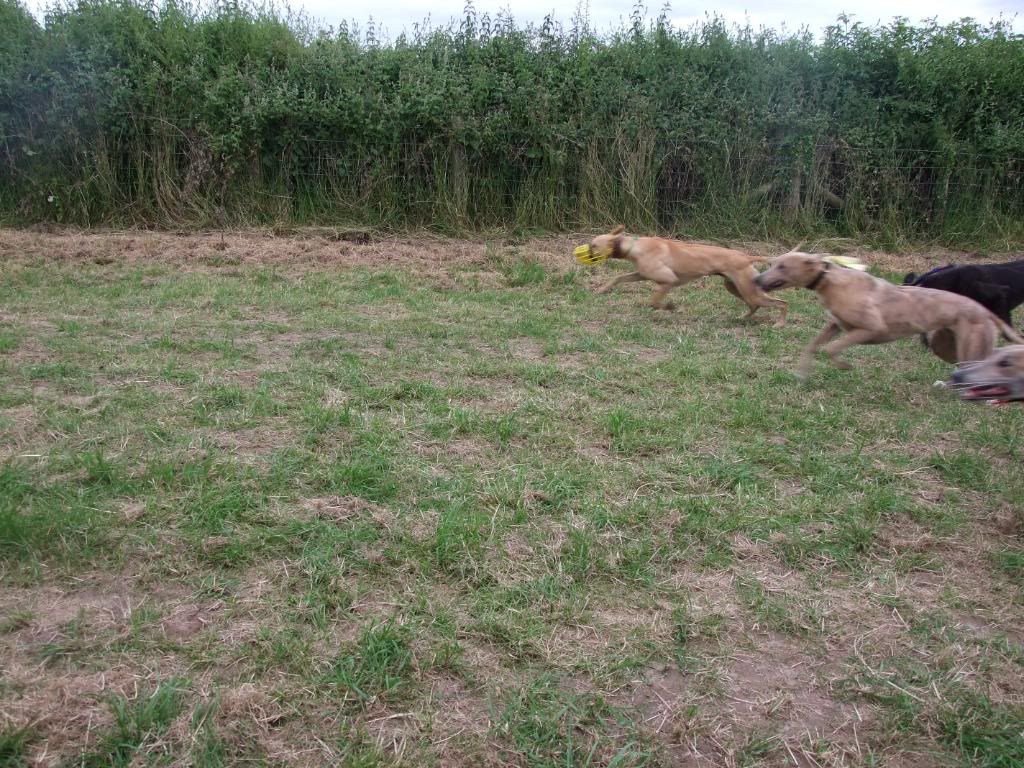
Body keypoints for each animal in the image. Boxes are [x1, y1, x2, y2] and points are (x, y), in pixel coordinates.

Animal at [589, 225, 786, 327]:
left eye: (593, 245)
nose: (587, 255)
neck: (634, 246)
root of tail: (746, 256)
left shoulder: (668, 280)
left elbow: (654, 302)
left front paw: (669, 306)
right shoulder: (641, 274)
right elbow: (619, 278)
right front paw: (601, 290)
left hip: (748, 291)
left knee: (782, 303)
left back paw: (780, 324)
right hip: (735, 288)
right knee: (754, 306)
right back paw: (742, 318)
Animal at [753, 250, 1024, 380]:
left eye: (782, 266)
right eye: (773, 263)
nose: (756, 280)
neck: (829, 279)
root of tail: (983, 310)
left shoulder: (871, 329)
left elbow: (830, 349)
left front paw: (844, 365)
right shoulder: (835, 325)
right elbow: (813, 346)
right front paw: (801, 373)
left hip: (970, 345)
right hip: (946, 345)